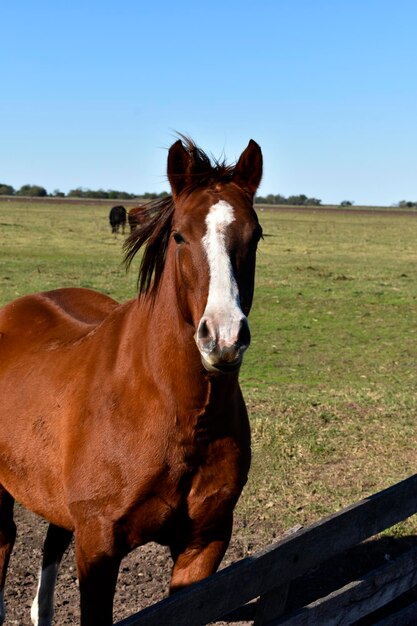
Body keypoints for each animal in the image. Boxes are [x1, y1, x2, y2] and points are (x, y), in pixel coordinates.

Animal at [0, 138, 262, 624]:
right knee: (5, 539)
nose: (223, 337)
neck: (179, 413)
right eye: (179, 235)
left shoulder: (204, 543)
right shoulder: (99, 546)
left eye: (255, 236)